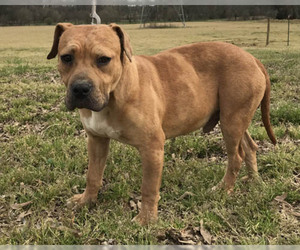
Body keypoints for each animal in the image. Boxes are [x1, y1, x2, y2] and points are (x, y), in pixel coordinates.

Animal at [47, 23, 276, 226]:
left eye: (103, 60)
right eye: (66, 57)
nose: (80, 88)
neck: (115, 92)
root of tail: (252, 58)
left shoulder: (152, 148)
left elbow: (148, 188)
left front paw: (146, 220)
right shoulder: (96, 141)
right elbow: (93, 175)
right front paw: (87, 201)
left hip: (231, 123)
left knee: (235, 157)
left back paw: (224, 188)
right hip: (236, 120)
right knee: (249, 147)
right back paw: (253, 180)